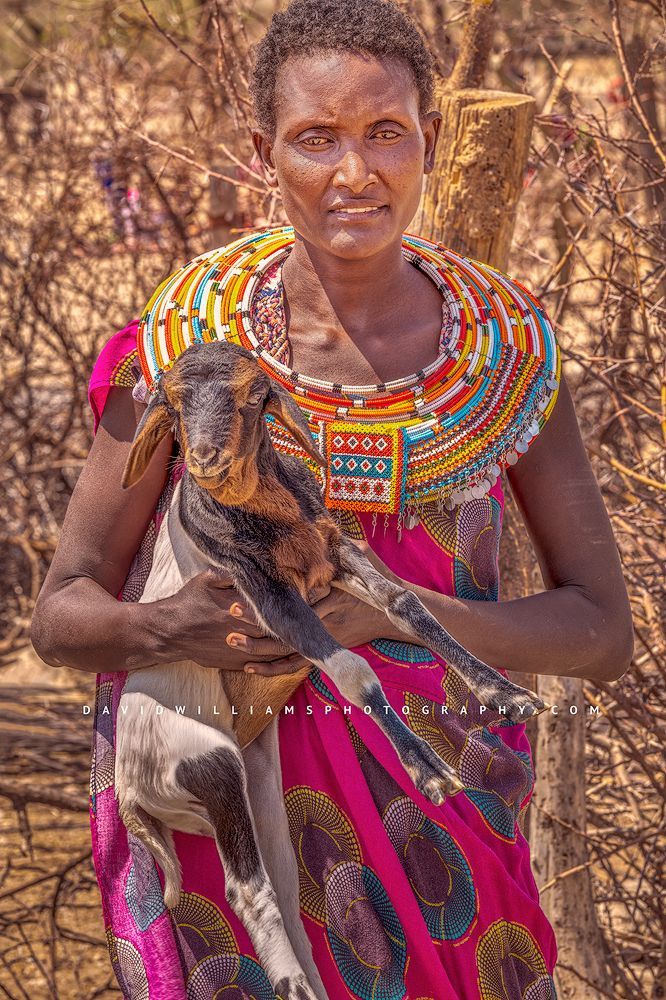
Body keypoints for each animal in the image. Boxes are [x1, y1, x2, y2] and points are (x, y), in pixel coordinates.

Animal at [116, 340, 547, 1000]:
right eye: (174, 401)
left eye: (253, 396)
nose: (208, 460)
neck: (265, 518)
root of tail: (130, 794)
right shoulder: (267, 598)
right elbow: (350, 669)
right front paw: (431, 774)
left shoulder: (334, 555)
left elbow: (405, 603)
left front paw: (506, 692)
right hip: (210, 765)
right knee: (245, 889)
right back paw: (291, 984)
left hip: (259, 800)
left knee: (285, 893)